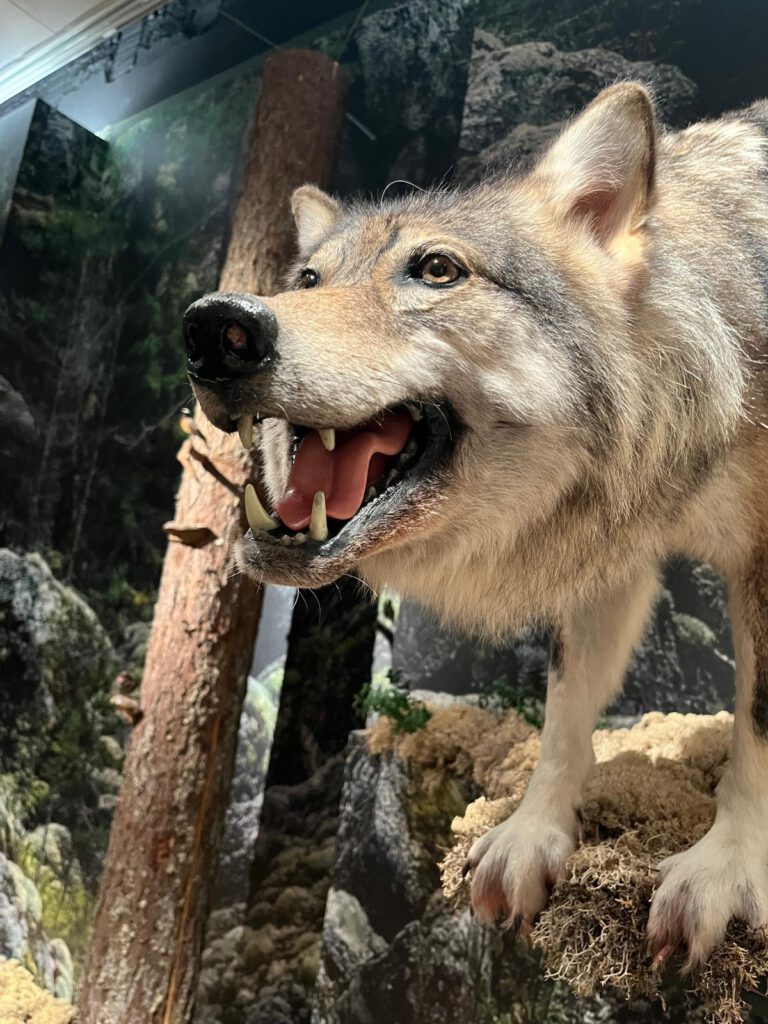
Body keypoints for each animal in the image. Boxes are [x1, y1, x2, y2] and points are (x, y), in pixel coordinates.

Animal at [184, 82, 768, 969]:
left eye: (436, 270)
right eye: (309, 278)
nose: (217, 329)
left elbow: (757, 728)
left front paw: (728, 869)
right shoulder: (607, 550)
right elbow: (563, 712)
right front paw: (533, 835)